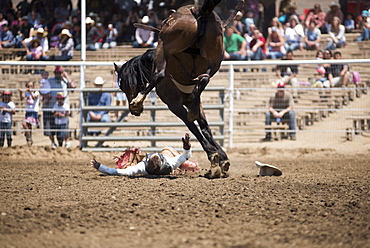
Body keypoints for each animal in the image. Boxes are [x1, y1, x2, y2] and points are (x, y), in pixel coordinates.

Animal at [114, 0, 244, 178]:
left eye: (123, 86)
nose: (134, 112)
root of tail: (198, 11)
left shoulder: (174, 104)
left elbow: (193, 127)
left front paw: (213, 155)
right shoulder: (192, 101)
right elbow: (205, 127)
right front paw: (221, 158)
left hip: (165, 44)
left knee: (161, 73)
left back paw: (138, 100)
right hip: (216, 57)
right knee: (205, 77)